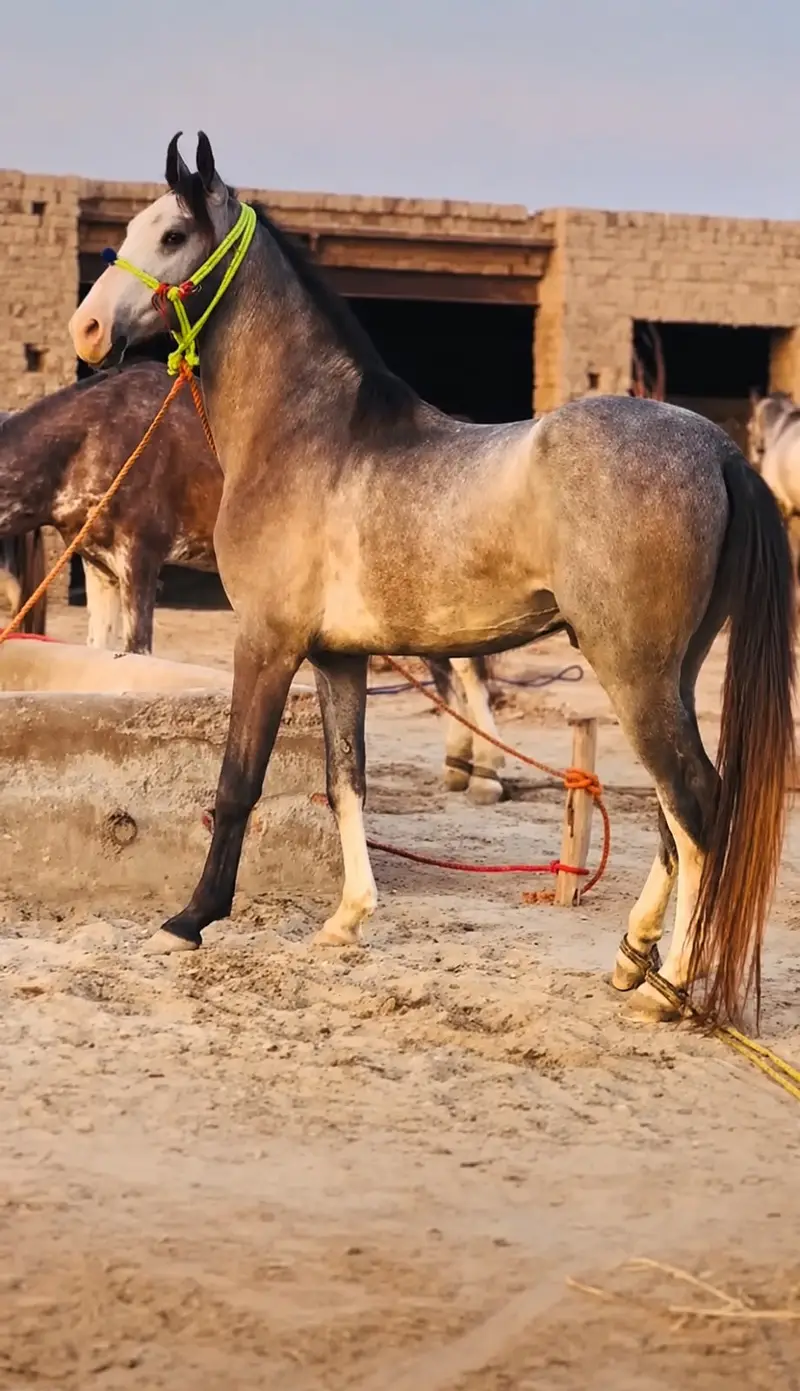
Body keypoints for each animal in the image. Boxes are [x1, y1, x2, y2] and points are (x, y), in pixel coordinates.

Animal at [0, 369, 505, 801]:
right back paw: (460, 764)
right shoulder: (99, 566)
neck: (94, 437)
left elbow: (137, 653)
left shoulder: (139, 558)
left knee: (467, 668)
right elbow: (102, 654)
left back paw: (488, 775)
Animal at [69, 131, 795, 1028]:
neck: (308, 433)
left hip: (636, 675)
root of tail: (720, 451)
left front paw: (189, 920)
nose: (86, 328)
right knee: (673, 817)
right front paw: (346, 920)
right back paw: (633, 962)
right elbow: (346, 781)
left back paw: (673, 988)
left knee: (697, 809)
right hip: (673, 674)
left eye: (171, 235)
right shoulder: (338, 657)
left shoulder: (266, 644)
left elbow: (238, 782)